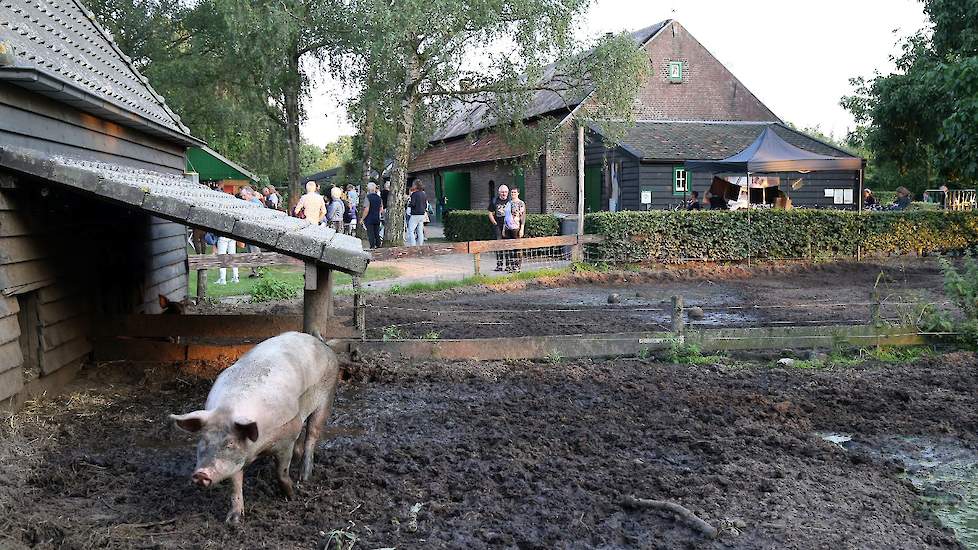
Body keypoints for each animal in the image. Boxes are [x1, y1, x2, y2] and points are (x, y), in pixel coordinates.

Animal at [173, 332, 342, 528]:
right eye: (202, 440)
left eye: (230, 443)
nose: (201, 474)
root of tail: (320, 343)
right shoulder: (237, 459)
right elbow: (235, 485)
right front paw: (233, 521)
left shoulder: (286, 439)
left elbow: (281, 472)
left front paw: (291, 495)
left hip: (327, 396)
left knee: (312, 435)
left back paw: (304, 477)